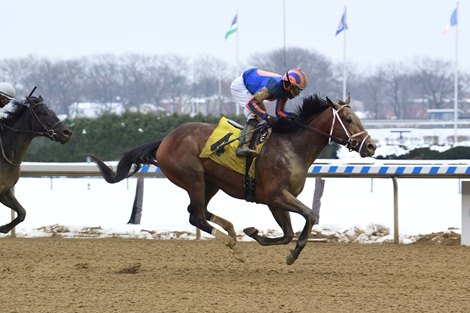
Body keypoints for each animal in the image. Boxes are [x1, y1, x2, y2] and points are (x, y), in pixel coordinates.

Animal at [0, 95, 71, 234]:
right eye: (43, 113)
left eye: (53, 111)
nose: (67, 133)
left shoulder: (4, 191)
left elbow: (22, 213)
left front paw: (3, 228)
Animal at [87, 93, 374, 264]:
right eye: (348, 119)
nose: (371, 146)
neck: (291, 146)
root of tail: (165, 140)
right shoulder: (275, 196)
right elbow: (309, 217)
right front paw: (291, 253)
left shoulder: (276, 201)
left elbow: (288, 233)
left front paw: (255, 233)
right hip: (194, 179)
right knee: (197, 217)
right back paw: (234, 245)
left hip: (211, 183)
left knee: (198, 212)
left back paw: (233, 231)